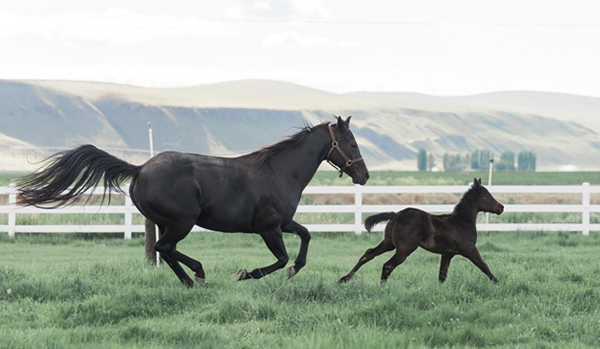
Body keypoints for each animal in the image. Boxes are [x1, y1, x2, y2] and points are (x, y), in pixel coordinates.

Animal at [16, 117, 368, 286]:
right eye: (351, 143)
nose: (363, 175)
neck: (279, 171)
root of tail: (140, 168)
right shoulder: (268, 228)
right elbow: (280, 259)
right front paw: (245, 273)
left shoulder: (283, 222)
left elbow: (306, 236)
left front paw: (296, 269)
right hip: (182, 222)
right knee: (165, 248)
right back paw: (197, 274)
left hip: (168, 223)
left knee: (166, 251)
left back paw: (190, 279)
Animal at [340, 179, 504, 282]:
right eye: (486, 196)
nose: (501, 207)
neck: (461, 222)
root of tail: (397, 215)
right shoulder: (469, 249)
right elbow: (484, 266)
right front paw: (498, 283)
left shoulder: (447, 254)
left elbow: (442, 275)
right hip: (405, 249)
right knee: (387, 265)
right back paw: (381, 288)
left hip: (388, 243)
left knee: (368, 254)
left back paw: (343, 279)